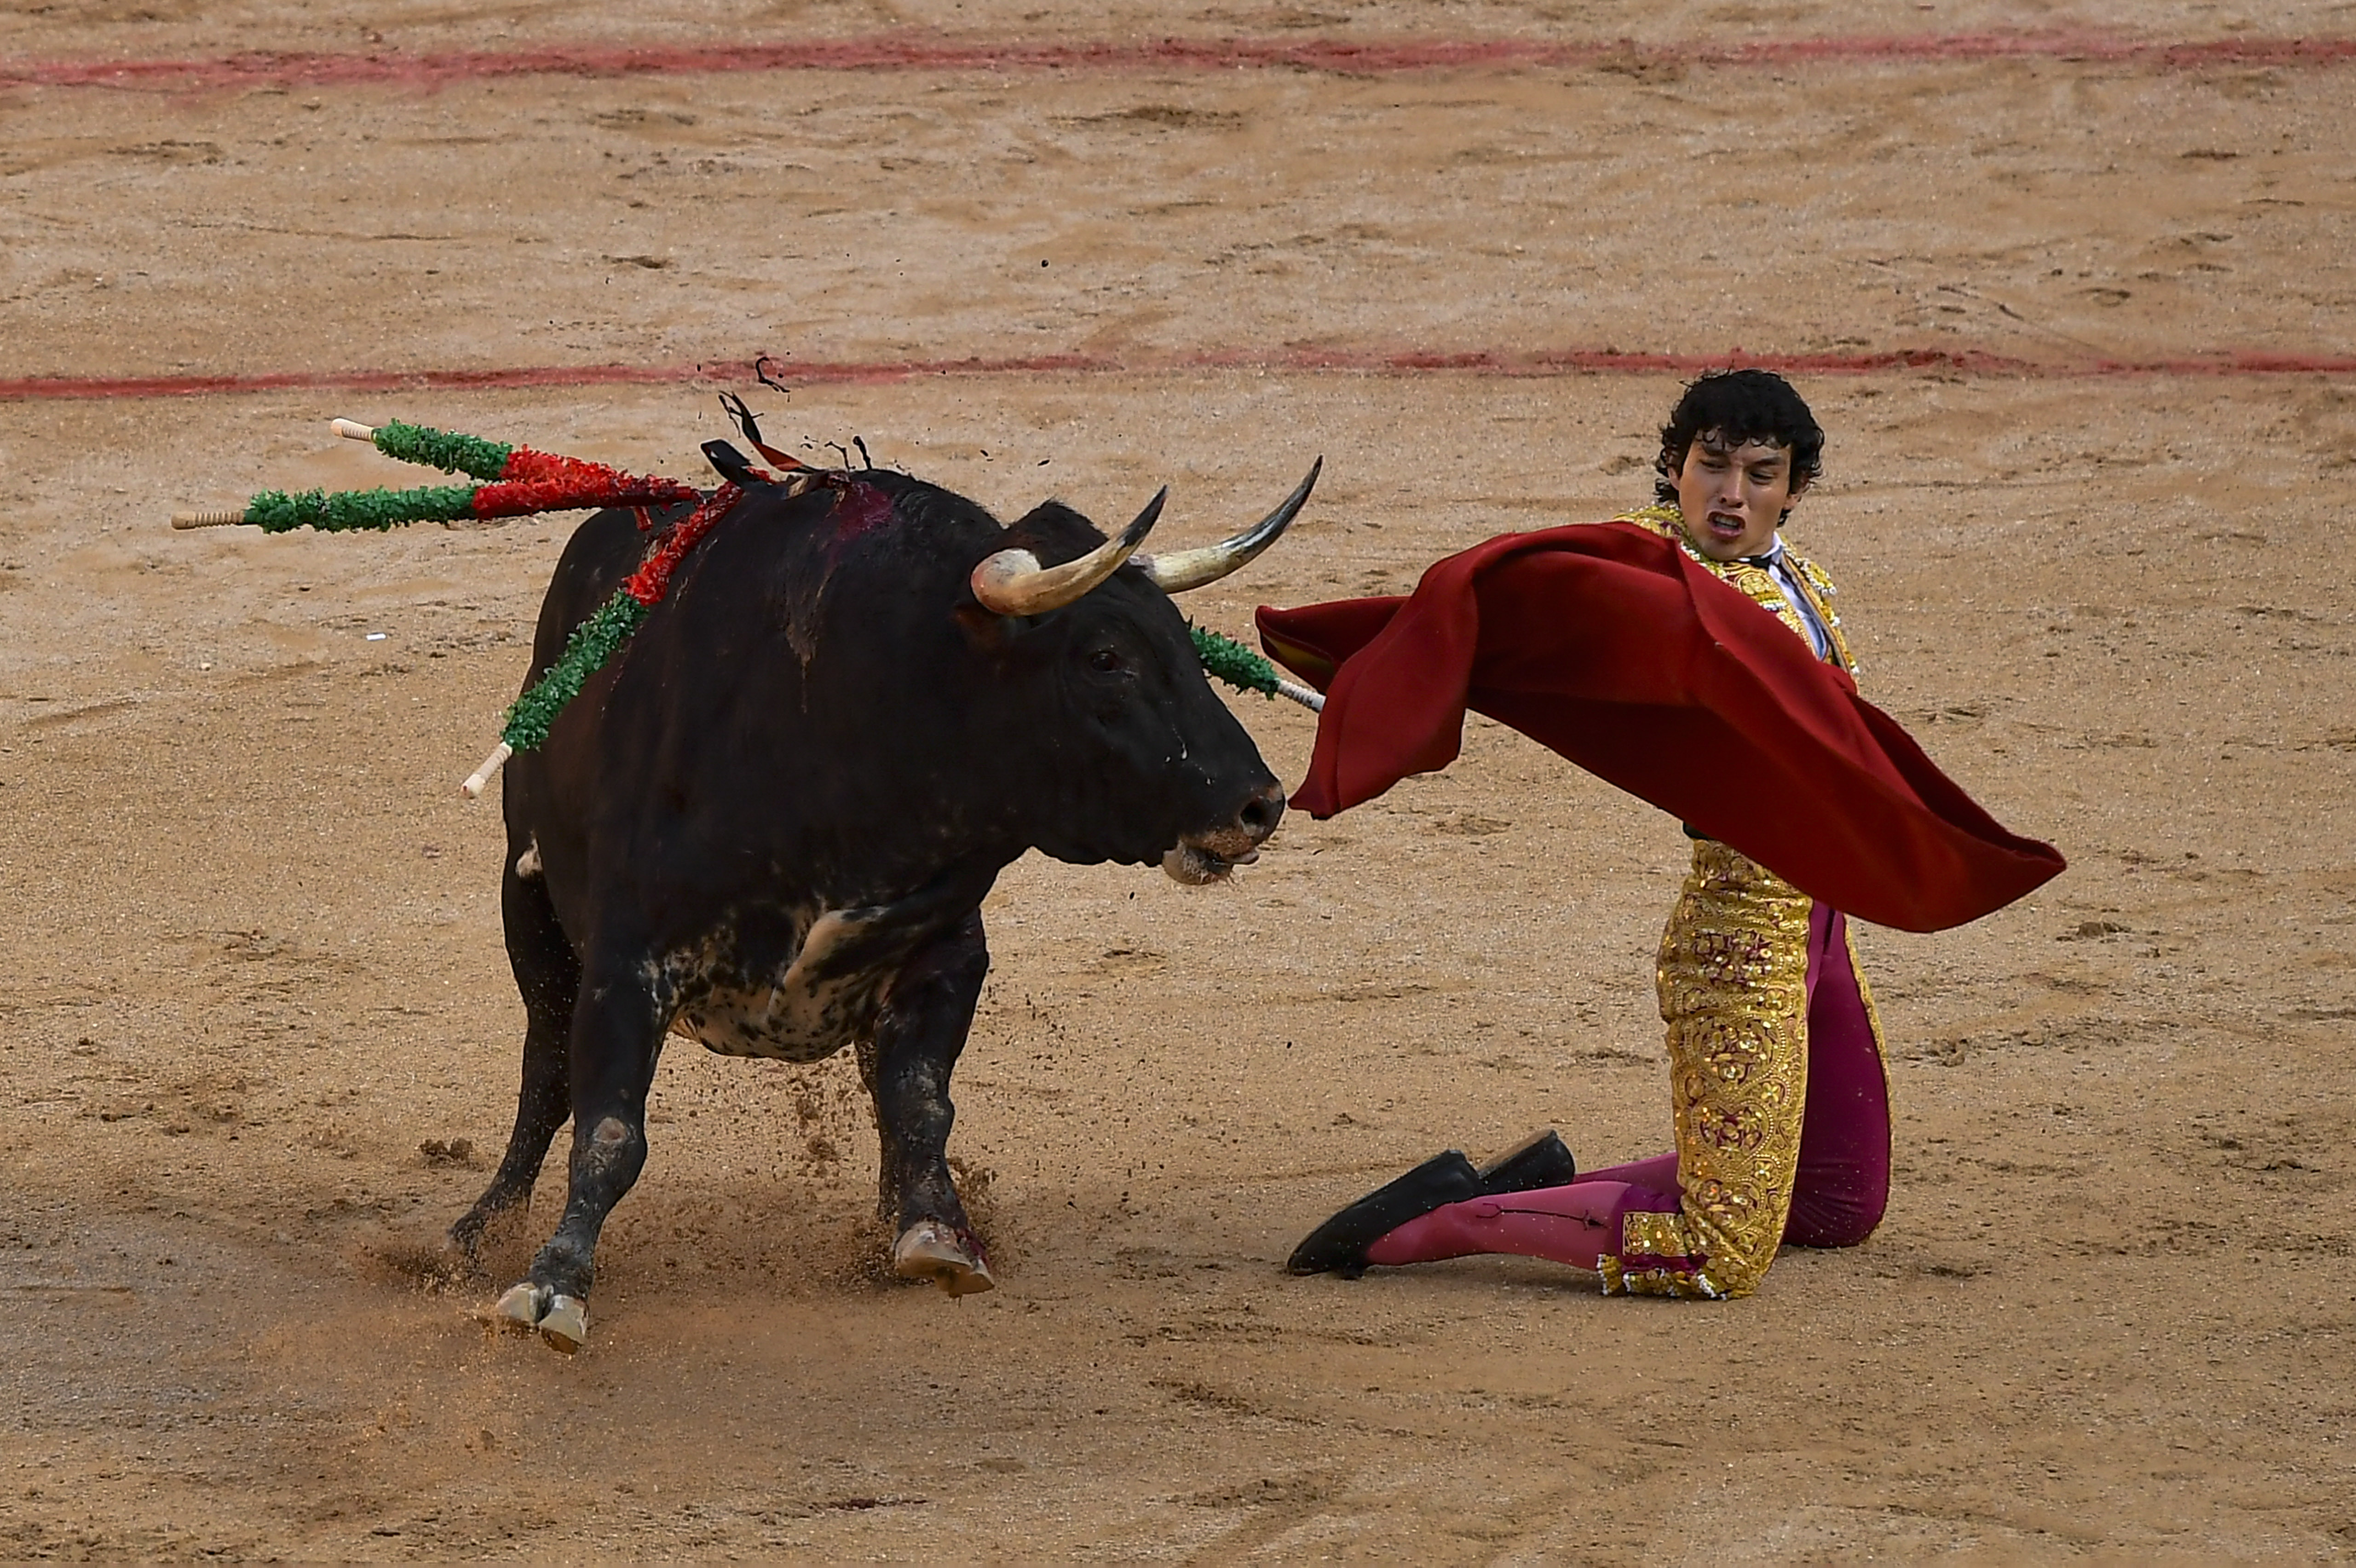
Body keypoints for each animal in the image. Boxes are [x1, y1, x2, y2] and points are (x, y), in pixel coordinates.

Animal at [450, 461, 1319, 1346]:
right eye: (1105, 657)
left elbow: (918, 1101)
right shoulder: (628, 962)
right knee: (545, 1074)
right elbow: (608, 1129)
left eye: (1183, 638)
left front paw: (935, 1229)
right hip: (529, 909)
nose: (1259, 803)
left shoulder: (946, 956)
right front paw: (553, 1286)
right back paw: (482, 1232)